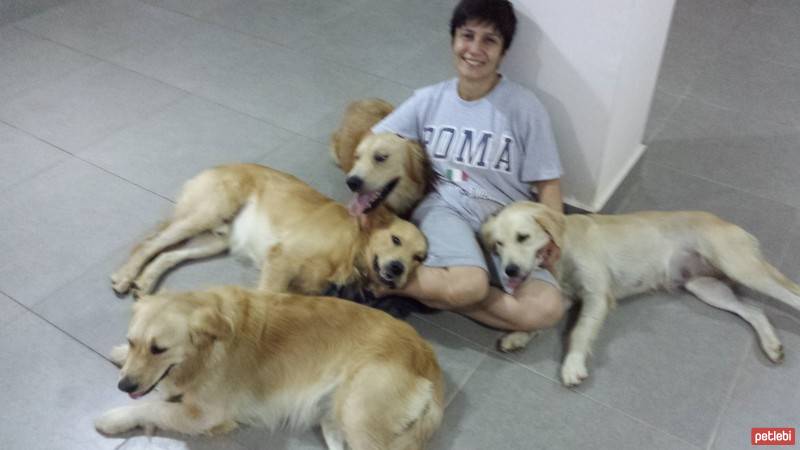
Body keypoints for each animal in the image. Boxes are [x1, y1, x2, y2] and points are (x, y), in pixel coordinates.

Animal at [95, 286, 444, 448]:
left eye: (159, 349)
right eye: (131, 341)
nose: (123, 386)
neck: (208, 351)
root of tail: (426, 354)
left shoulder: (204, 415)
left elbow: (152, 407)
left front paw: (114, 418)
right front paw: (119, 356)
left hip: (359, 416)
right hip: (336, 418)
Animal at [111, 163, 432, 298]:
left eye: (419, 258)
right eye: (395, 239)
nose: (398, 269)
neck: (351, 247)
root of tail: (219, 166)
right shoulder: (281, 260)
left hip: (215, 242)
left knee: (168, 256)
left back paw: (145, 282)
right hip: (205, 214)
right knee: (149, 244)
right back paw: (125, 275)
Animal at [482, 201, 800, 386]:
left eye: (523, 237)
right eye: (498, 244)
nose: (510, 271)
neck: (564, 249)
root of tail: (733, 224)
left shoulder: (597, 296)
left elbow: (579, 332)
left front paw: (573, 364)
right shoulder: (567, 296)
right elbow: (539, 321)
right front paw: (518, 335)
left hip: (742, 267)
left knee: (791, 293)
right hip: (705, 287)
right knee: (754, 310)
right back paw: (772, 345)